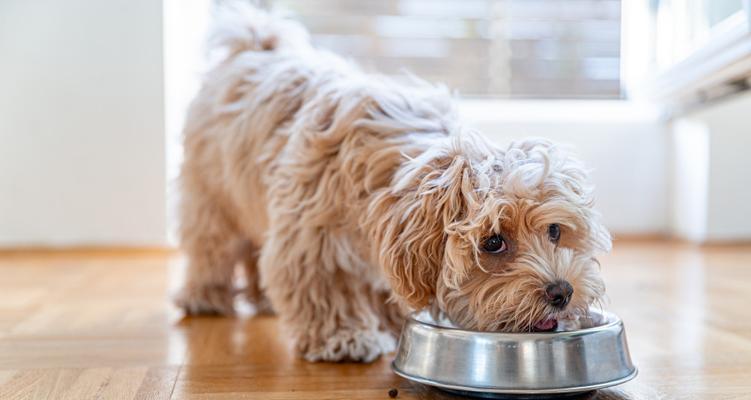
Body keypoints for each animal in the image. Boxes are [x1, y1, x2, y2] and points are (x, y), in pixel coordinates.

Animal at [176, 5, 612, 362]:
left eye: (554, 231)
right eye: (493, 243)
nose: (561, 292)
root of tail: (255, 45)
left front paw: (387, 319)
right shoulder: (311, 236)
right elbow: (324, 284)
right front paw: (344, 336)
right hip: (211, 193)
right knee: (211, 245)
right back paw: (206, 295)